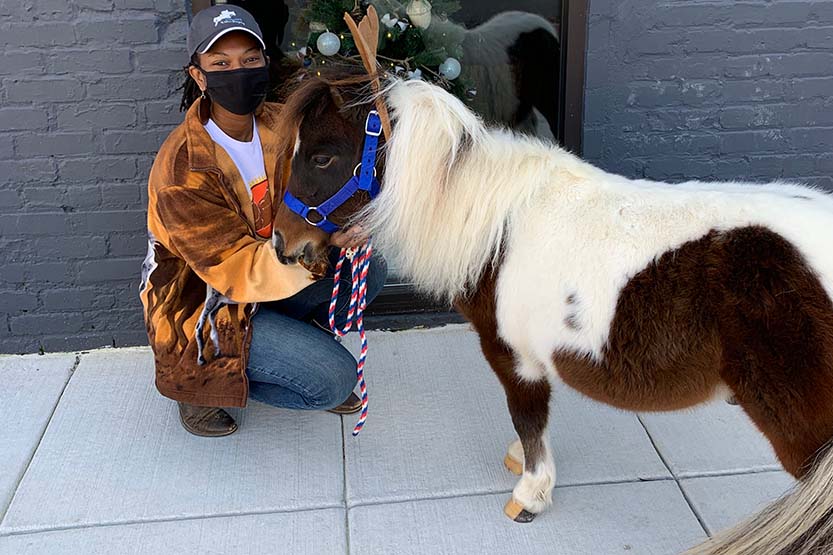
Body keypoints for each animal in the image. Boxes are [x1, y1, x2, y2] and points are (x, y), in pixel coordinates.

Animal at [272, 74, 833, 555]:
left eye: (322, 156)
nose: (281, 243)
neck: (499, 228)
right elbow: (531, 428)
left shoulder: (514, 357)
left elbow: (529, 417)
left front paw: (531, 494)